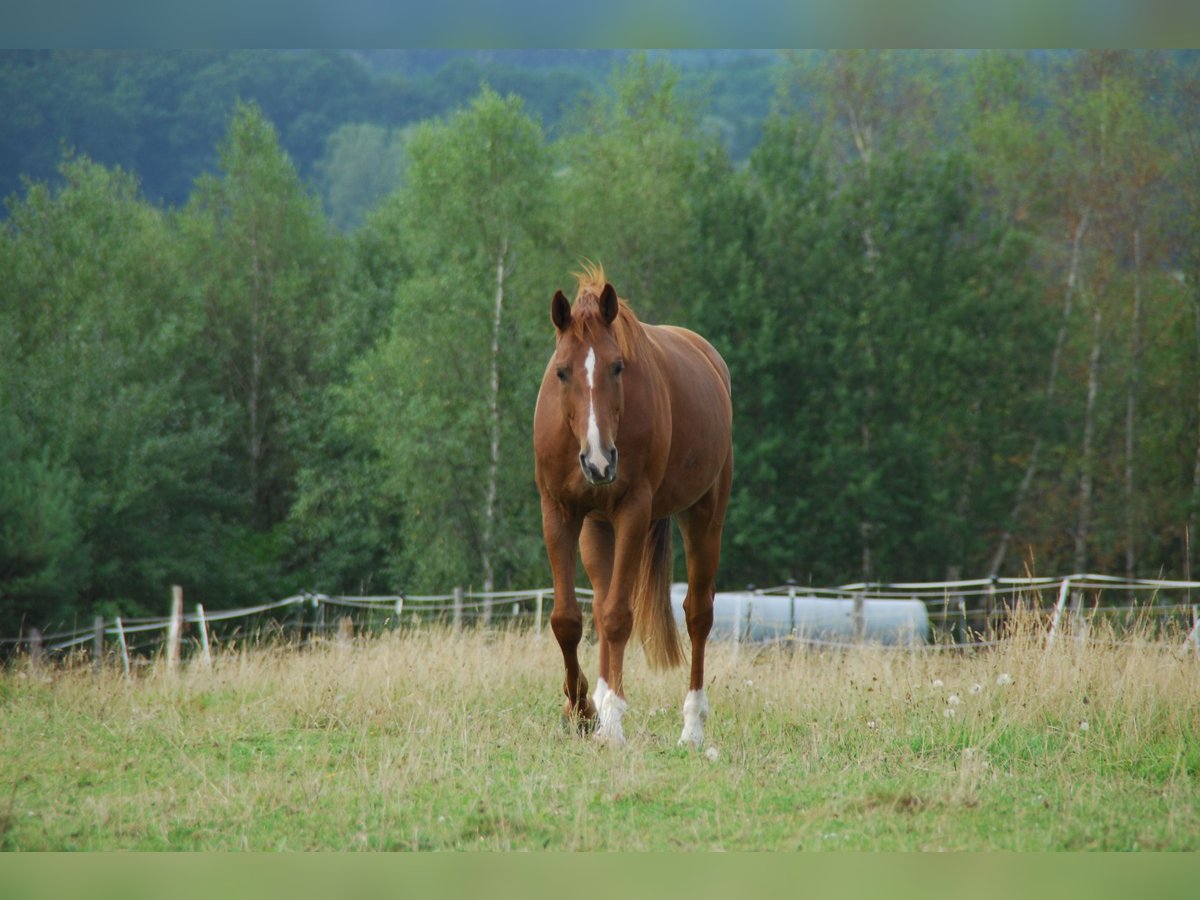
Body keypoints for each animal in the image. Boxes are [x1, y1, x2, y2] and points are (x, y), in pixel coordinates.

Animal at [535, 264, 729, 748]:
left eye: (617, 366)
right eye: (561, 372)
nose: (599, 460)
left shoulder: (633, 511)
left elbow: (620, 617)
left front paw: (610, 720)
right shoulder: (558, 513)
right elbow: (568, 620)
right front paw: (582, 710)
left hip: (704, 516)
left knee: (697, 615)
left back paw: (691, 728)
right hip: (596, 529)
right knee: (602, 606)